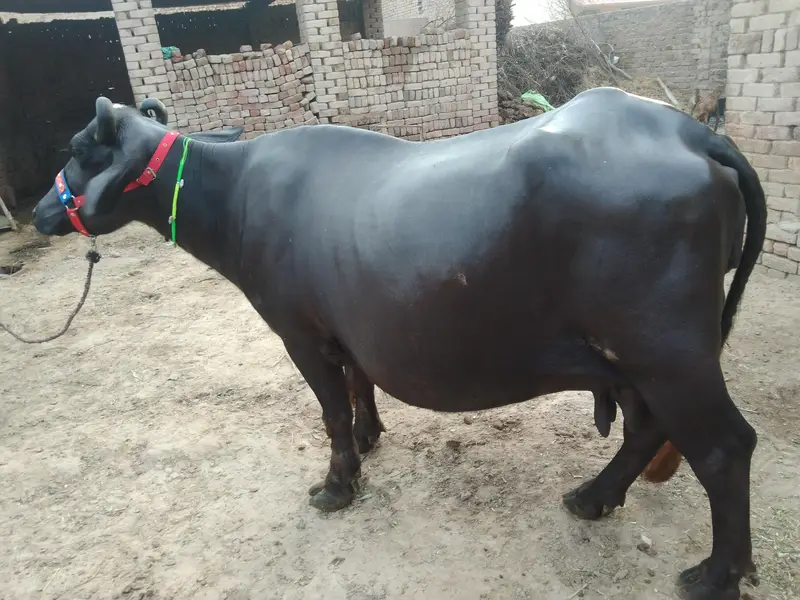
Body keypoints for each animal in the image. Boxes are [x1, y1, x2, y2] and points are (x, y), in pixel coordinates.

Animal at [33, 87, 766, 600]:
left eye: (79, 149)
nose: (42, 211)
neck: (235, 194)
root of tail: (695, 132)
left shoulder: (299, 334)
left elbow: (329, 410)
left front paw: (337, 483)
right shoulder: (345, 331)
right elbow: (359, 384)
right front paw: (370, 436)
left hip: (667, 351)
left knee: (725, 448)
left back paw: (714, 575)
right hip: (636, 358)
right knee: (647, 431)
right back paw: (592, 497)